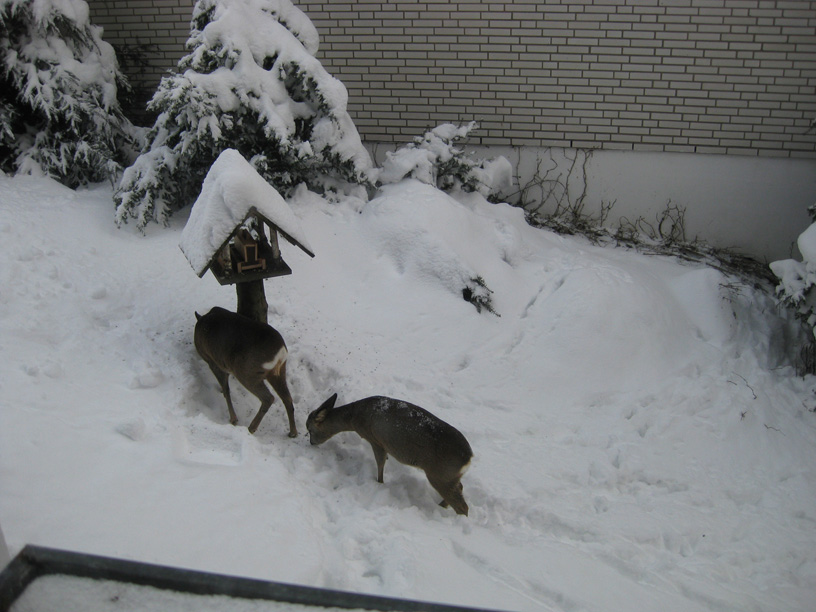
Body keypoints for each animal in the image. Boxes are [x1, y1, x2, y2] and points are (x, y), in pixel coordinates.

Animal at [194, 306, 296, 436]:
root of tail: (280, 353)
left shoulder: (213, 362)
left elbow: (226, 389)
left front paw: (233, 419)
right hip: (279, 371)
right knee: (287, 398)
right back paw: (293, 432)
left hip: (246, 372)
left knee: (268, 398)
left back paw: (251, 428)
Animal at [306, 392, 472, 516]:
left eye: (309, 429)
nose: (311, 443)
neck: (354, 418)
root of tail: (468, 457)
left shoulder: (375, 439)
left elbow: (380, 463)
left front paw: (379, 483)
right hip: (449, 477)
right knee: (460, 488)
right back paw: (441, 506)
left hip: (440, 475)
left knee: (463, 506)